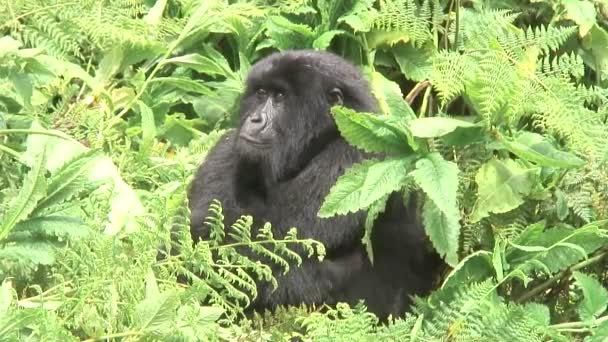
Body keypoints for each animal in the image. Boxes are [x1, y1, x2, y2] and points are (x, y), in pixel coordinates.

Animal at [188, 48, 440, 318]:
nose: (254, 120)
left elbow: (268, 248)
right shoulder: (227, 148)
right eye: (261, 94)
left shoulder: (351, 159)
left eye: (280, 97)